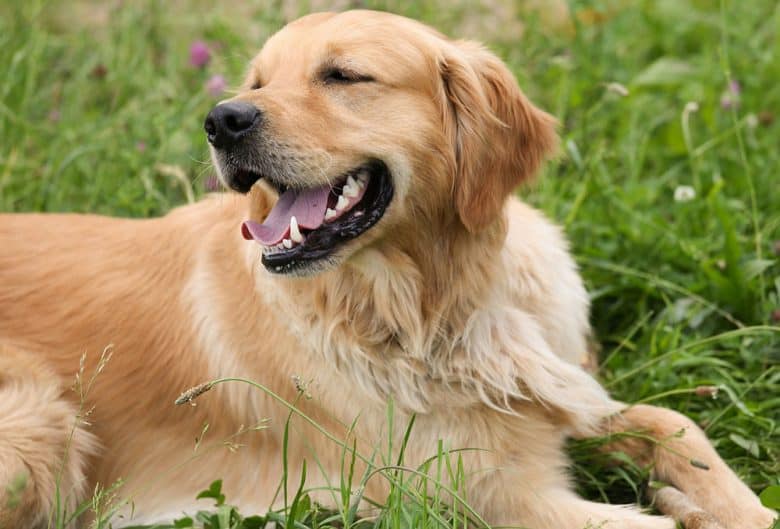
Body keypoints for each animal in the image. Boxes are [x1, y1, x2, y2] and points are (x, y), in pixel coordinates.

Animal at [0, 8, 772, 528]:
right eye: (257, 81)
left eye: (343, 75)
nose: (222, 120)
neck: (444, 299)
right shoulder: (491, 495)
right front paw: (692, 508)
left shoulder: (561, 387)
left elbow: (673, 421)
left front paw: (728, 501)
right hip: (44, 423)